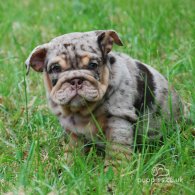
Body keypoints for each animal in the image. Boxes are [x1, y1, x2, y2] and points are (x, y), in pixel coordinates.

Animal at [25, 30, 182, 169]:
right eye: (55, 68)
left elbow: (116, 152)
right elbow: (73, 147)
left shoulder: (119, 121)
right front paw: (68, 164)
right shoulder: (71, 127)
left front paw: (114, 172)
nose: (76, 80)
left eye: (93, 65)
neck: (82, 111)